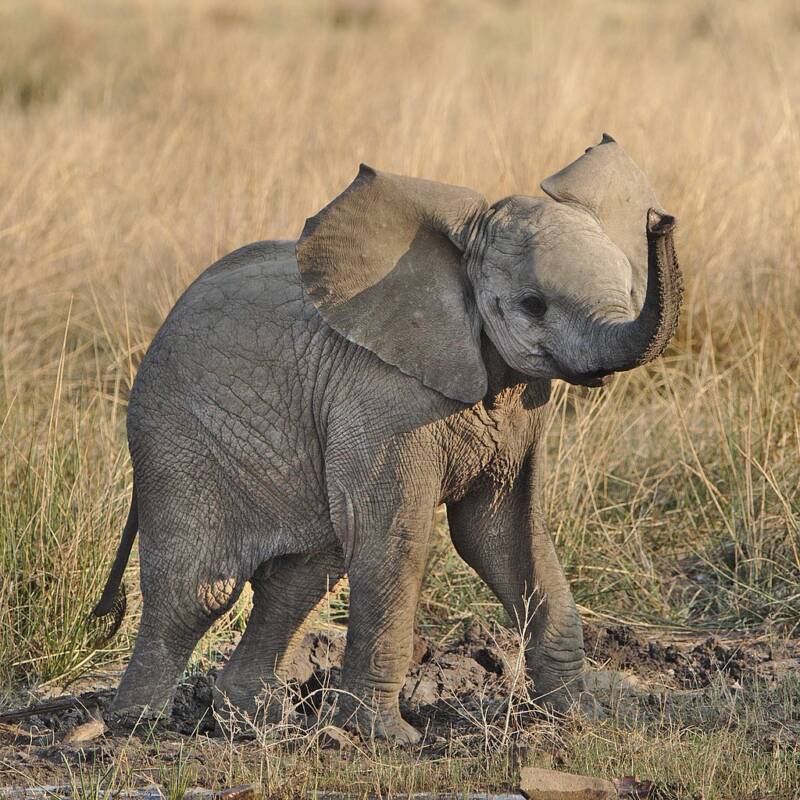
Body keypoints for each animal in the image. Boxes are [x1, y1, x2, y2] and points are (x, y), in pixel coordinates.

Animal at [92, 133, 680, 744]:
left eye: (630, 287)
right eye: (532, 304)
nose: (662, 221)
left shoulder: (520, 406)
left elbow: (502, 534)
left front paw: (580, 716)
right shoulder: (380, 397)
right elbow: (394, 536)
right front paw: (387, 738)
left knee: (302, 575)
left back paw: (258, 721)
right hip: (179, 437)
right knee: (199, 588)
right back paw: (136, 727)